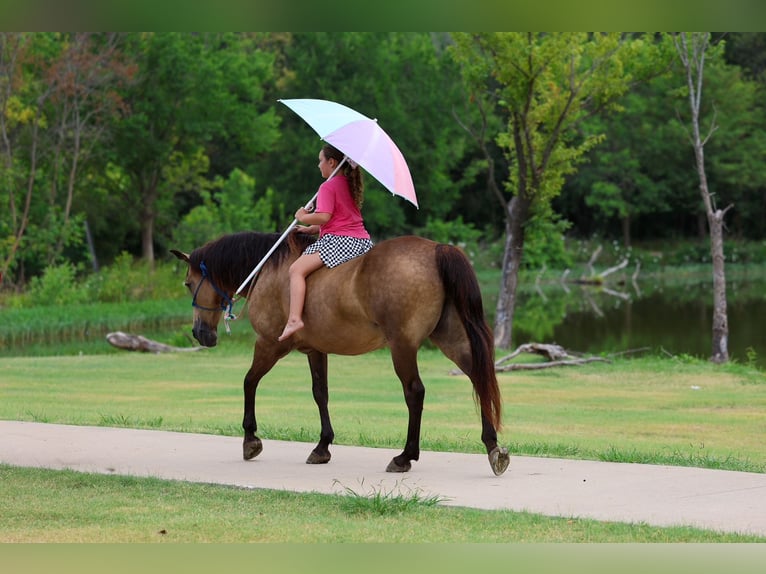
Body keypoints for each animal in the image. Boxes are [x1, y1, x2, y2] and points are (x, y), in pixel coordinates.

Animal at [171, 231, 510, 476]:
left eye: (188, 283)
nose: (200, 334)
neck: (269, 269)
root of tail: (437, 248)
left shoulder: (269, 344)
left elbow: (249, 382)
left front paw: (250, 439)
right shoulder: (315, 350)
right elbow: (320, 393)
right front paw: (323, 446)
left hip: (402, 346)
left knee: (415, 392)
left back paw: (405, 456)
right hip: (451, 338)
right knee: (478, 378)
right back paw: (492, 446)